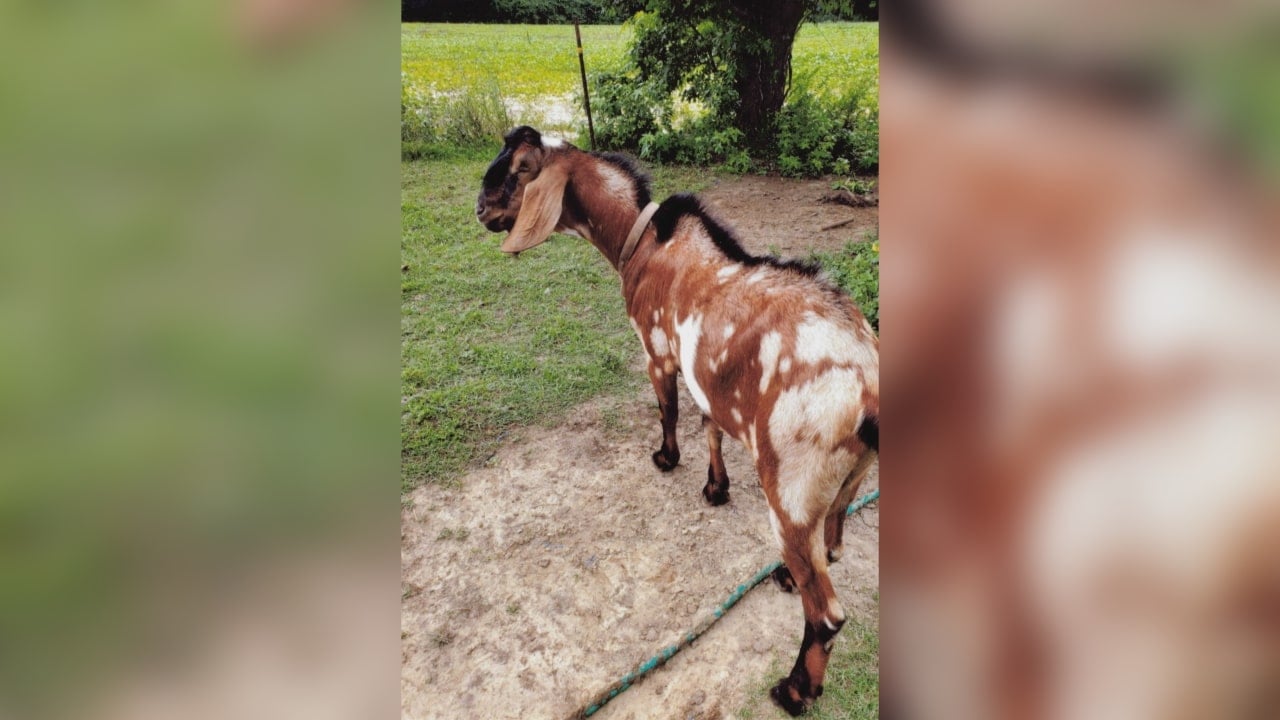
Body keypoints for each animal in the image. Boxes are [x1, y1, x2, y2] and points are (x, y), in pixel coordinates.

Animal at [476, 126, 879, 715]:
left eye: (520, 169)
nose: (480, 209)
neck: (643, 240)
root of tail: (870, 392)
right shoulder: (707, 377)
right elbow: (709, 425)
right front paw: (715, 488)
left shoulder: (658, 351)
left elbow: (667, 409)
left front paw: (666, 458)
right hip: (846, 482)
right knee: (831, 544)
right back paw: (785, 578)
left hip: (791, 487)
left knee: (826, 613)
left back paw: (794, 691)